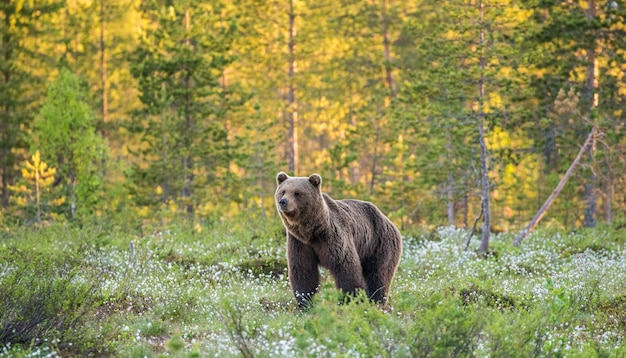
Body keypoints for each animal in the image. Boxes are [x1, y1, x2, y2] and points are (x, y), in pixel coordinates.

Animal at [276, 171, 402, 308]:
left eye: (297, 192)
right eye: (283, 191)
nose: (283, 202)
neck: (312, 231)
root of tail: (390, 222)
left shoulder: (332, 237)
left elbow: (345, 266)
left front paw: (350, 298)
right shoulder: (299, 242)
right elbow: (303, 269)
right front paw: (305, 301)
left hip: (379, 243)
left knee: (378, 274)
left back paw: (377, 301)